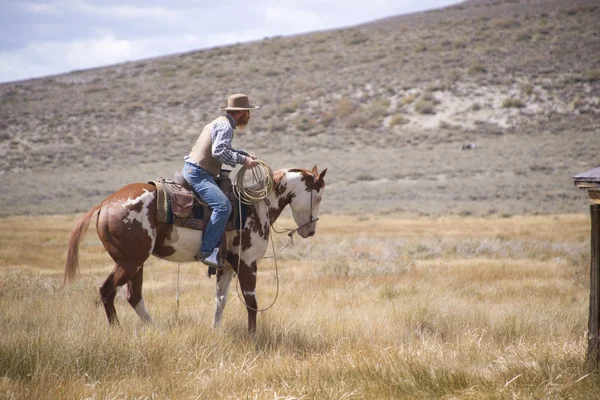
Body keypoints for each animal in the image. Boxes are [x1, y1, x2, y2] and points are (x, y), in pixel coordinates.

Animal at [64, 166, 328, 332]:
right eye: (318, 198)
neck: (254, 207)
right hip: (130, 262)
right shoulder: (247, 264)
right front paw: (254, 336)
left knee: (134, 296)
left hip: (135, 264)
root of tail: (106, 204)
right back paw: (118, 330)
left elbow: (220, 300)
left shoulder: (226, 267)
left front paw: (215, 330)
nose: (311, 231)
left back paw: (155, 329)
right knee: (108, 290)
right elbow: (251, 302)